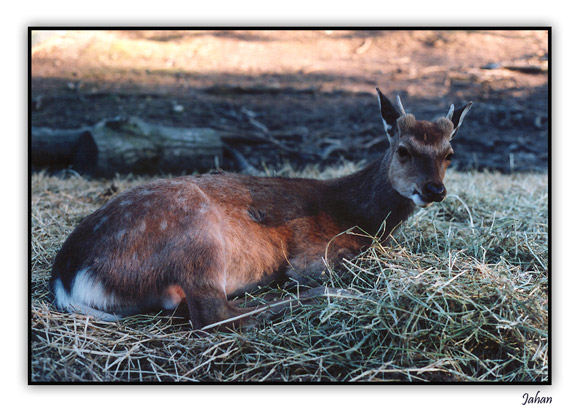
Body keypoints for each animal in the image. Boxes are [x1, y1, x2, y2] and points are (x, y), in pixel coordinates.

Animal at [46, 88, 472, 332]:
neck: (356, 216)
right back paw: (320, 295)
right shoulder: (312, 254)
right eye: (403, 150)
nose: (434, 189)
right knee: (211, 316)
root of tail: (68, 277)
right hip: (196, 235)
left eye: (450, 153)